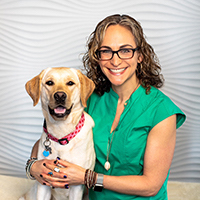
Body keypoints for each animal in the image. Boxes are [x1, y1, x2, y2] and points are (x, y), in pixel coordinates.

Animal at [19, 67, 95, 200]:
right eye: (49, 82)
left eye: (70, 83)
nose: (60, 96)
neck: (61, 134)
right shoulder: (43, 181)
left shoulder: (76, 186)